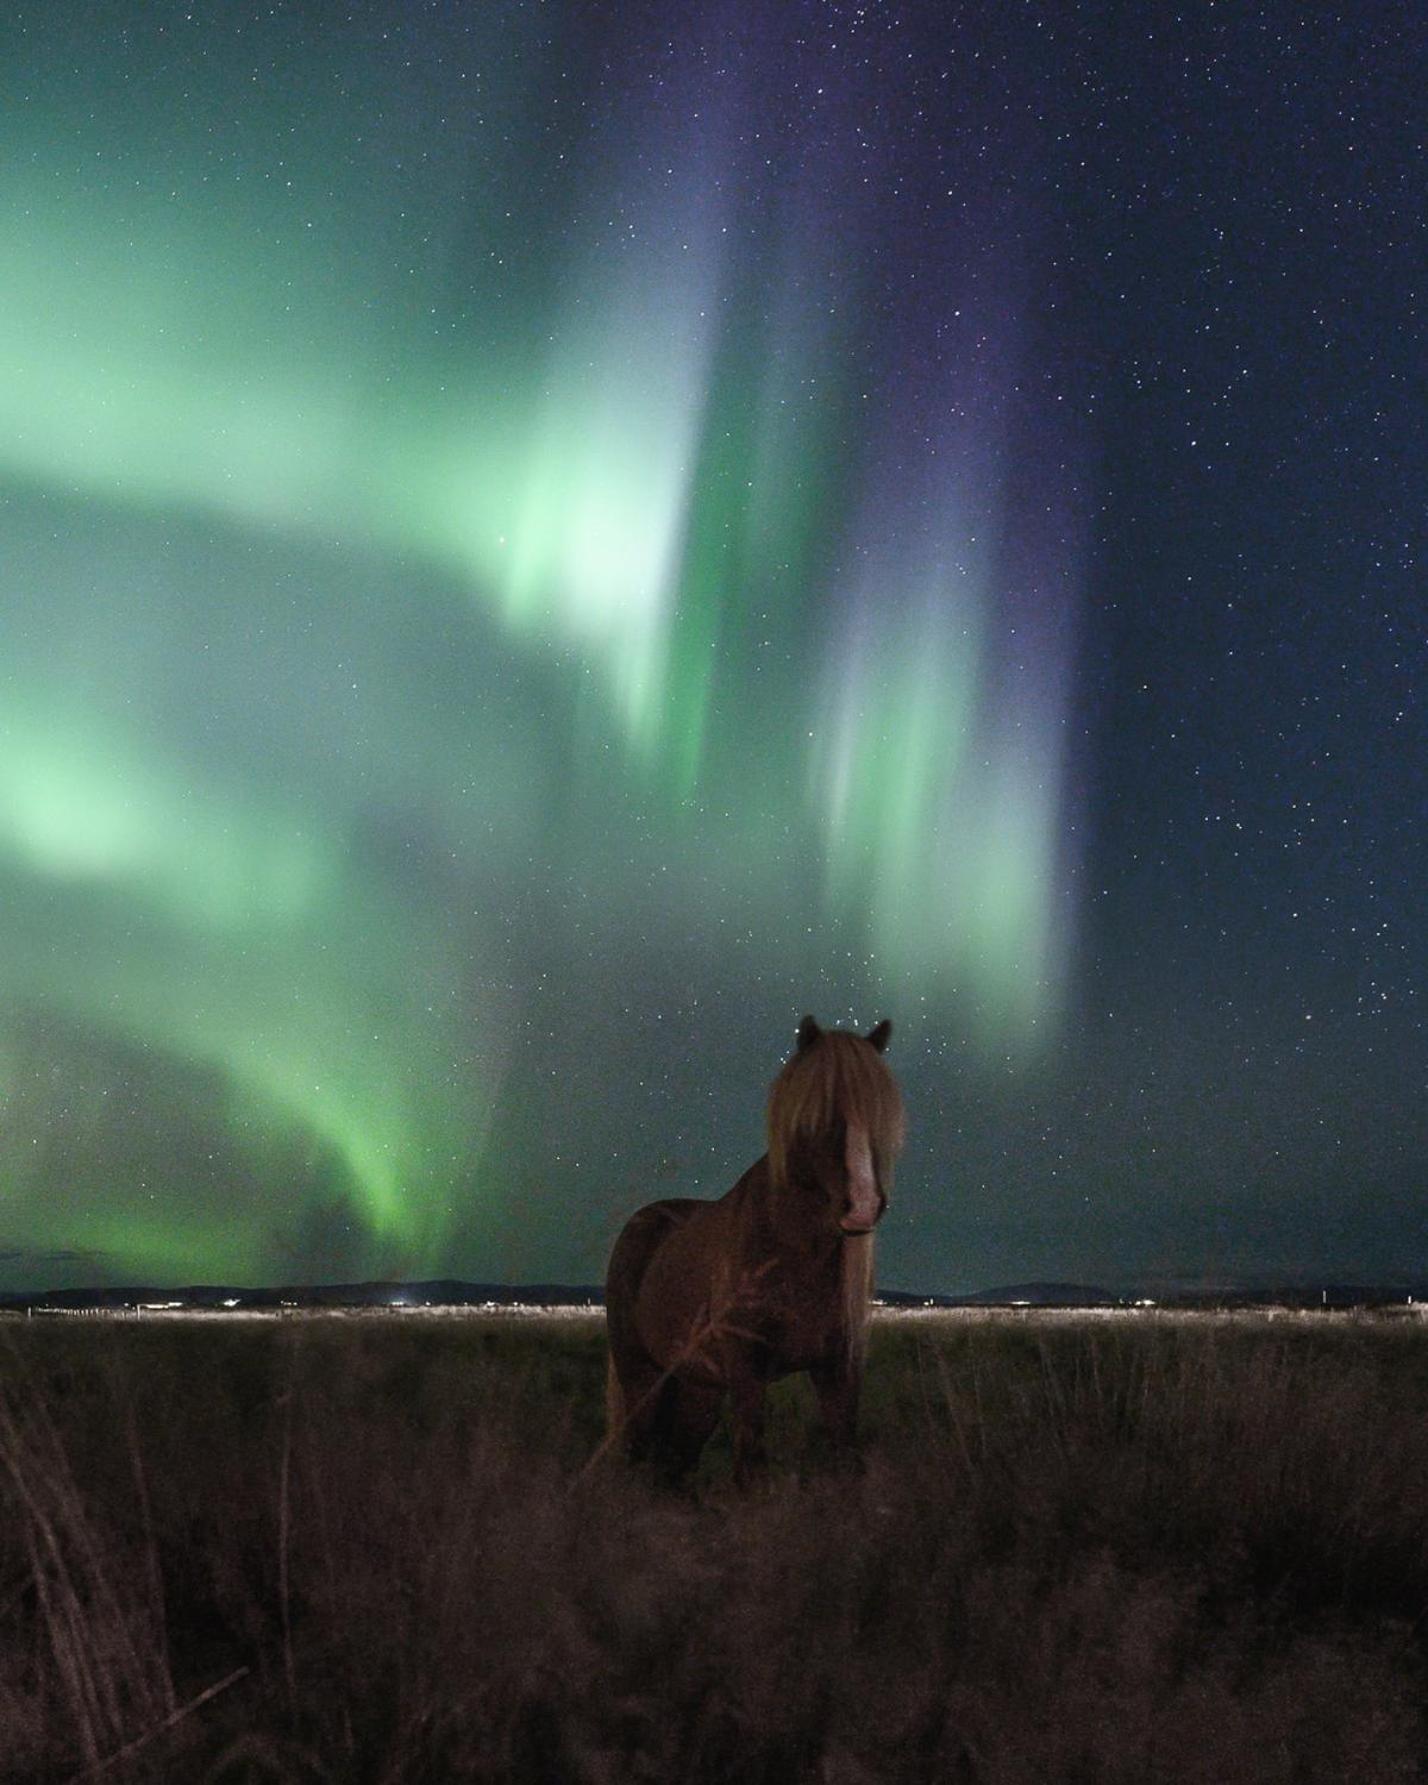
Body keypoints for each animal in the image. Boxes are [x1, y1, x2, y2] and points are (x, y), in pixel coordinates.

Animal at [603, 1013, 903, 1485]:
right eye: (816, 1114)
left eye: (878, 1116)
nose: (862, 1206)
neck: (793, 1255)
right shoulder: (747, 1370)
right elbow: (750, 1471)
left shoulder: (838, 1370)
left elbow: (845, 1460)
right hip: (642, 1379)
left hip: (698, 1388)